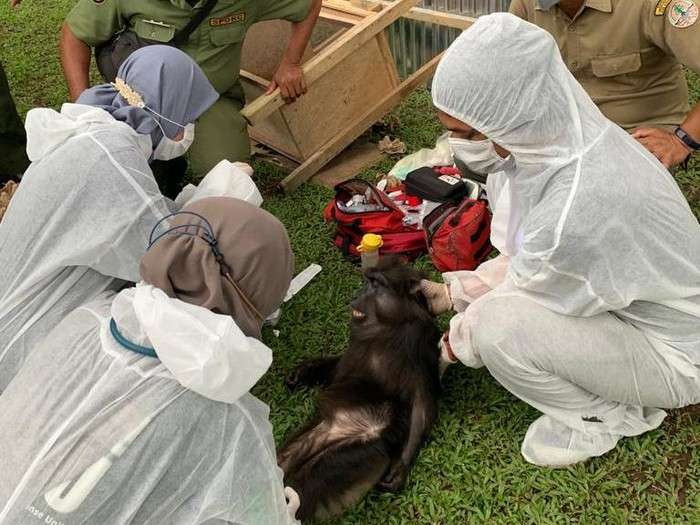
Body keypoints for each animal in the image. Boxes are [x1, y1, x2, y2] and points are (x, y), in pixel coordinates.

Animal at [276, 256, 440, 520]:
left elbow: (421, 403)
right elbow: (339, 367)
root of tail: (336, 429)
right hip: (319, 429)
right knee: (285, 458)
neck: (391, 323)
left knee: (307, 481)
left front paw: (401, 467)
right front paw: (302, 372)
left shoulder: (417, 343)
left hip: (360, 447)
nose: (357, 294)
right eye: (366, 281)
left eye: (376, 284)